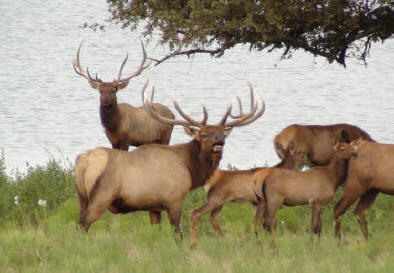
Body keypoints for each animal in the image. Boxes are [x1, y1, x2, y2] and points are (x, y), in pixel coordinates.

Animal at [73, 41, 175, 223]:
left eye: (114, 89)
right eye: (100, 89)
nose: (105, 100)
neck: (114, 125)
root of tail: (172, 114)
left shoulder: (127, 138)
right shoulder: (112, 140)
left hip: (166, 136)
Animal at [74, 79, 264, 236]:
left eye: (222, 133)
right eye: (203, 134)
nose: (219, 142)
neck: (189, 169)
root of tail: (83, 162)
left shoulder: (153, 206)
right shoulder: (174, 199)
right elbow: (178, 233)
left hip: (82, 196)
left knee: (78, 222)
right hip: (102, 195)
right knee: (84, 224)